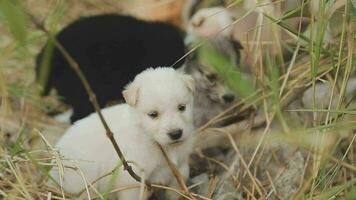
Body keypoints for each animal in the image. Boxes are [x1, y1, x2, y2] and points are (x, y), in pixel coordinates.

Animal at [48, 68, 195, 199]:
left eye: (182, 107)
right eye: (153, 114)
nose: (176, 134)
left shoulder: (181, 165)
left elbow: (179, 182)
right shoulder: (132, 181)